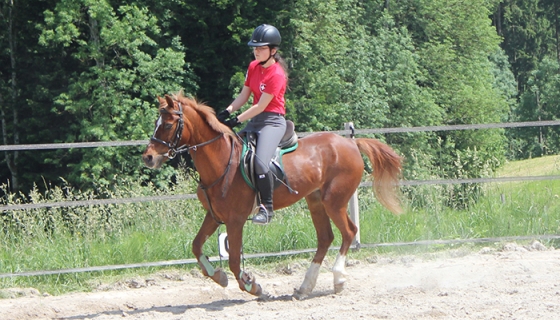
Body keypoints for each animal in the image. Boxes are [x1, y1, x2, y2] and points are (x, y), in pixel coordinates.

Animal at [140, 93, 402, 300]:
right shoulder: (214, 216)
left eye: (168, 124)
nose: (148, 158)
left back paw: (338, 279)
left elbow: (234, 260)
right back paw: (305, 287)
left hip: (334, 201)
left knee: (348, 232)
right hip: (316, 201)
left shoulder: (235, 220)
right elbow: (196, 246)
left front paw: (252, 286)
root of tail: (351, 143)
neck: (221, 160)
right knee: (325, 238)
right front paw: (218, 276)